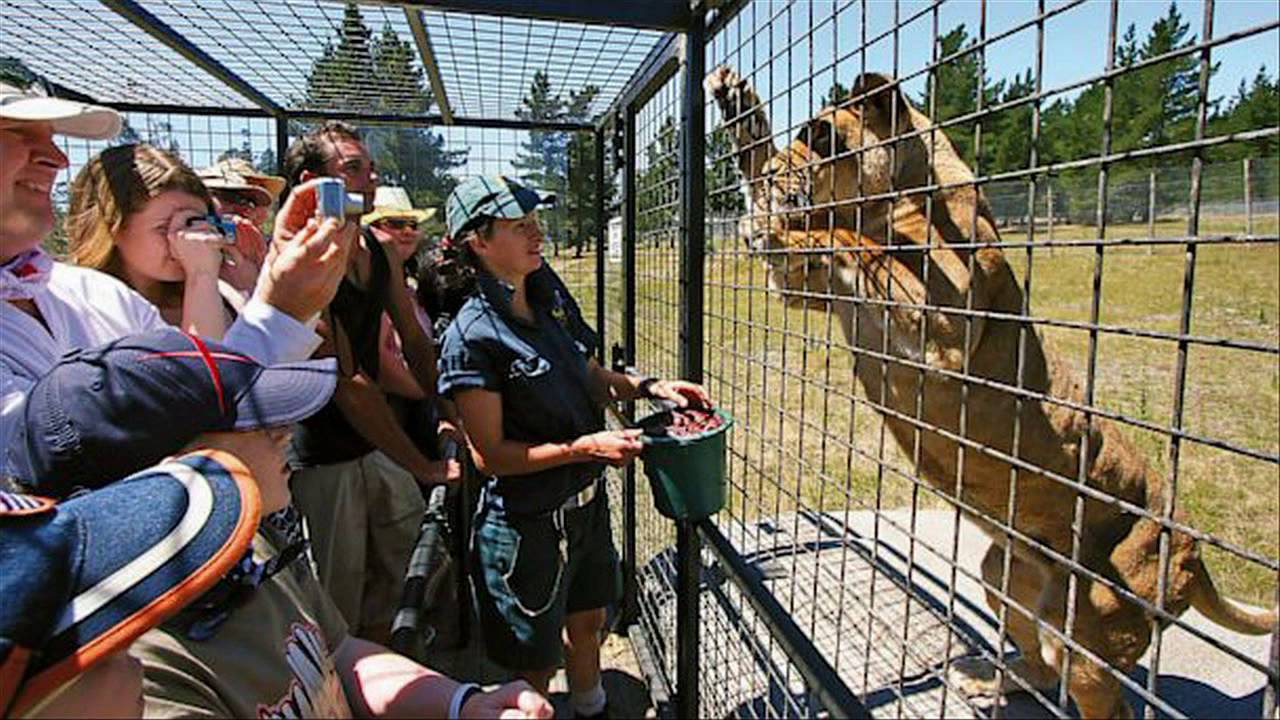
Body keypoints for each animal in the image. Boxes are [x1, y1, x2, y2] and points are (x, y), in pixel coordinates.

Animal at [706, 64, 1274, 712]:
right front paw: (737, 107)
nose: (784, 178)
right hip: (1004, 574)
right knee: (1040, 665)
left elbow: (853, 242)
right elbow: (787, 192)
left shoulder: (944, 335)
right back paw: (984, 679)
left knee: (1107, 698)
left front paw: (776, 219)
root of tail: (1191, 544)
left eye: (820, 136)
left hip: (1092, 636)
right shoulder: (809, 292)